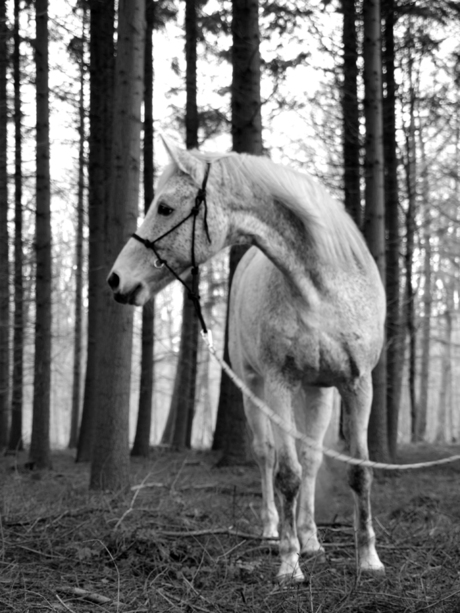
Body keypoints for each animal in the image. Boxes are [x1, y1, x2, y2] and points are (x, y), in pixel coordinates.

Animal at [109, 140, 386, 584]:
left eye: (165, 208)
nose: (116, 280)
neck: (323, 293)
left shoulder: (358, 385)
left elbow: (358, 471)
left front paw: (369, 560)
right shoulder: (278, 384)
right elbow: (286, 474)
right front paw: (289, 564)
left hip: (318, 392)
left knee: (311, 459)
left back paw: (311, 539)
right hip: (254, 388)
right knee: (267, 455)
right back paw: (275, 532)